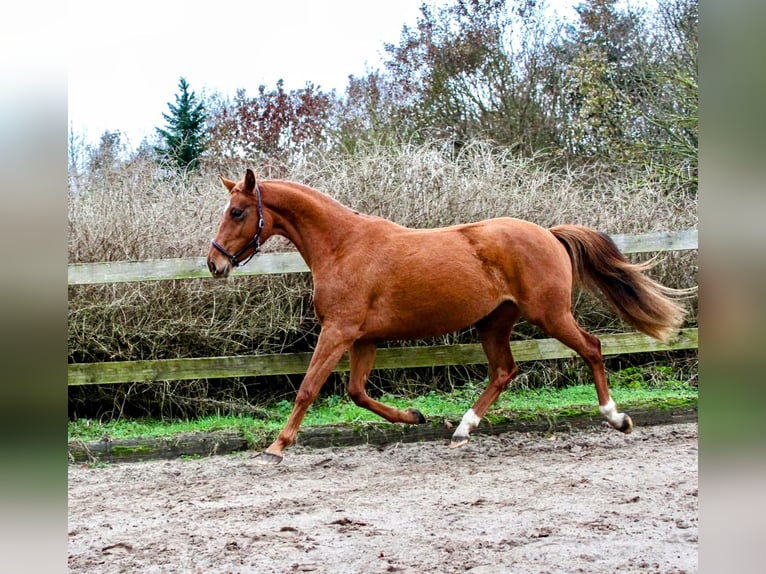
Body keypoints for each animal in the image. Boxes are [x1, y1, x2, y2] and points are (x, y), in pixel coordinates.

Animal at [207, 169, 688, 466]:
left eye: (237, 211)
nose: (215, 264)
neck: (343, 246)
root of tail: (549, 234)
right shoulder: (363, 338)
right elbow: (357, 392)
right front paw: (414, 416)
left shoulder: (338, 331)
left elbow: (308, 389)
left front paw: (276, 447)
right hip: (494, 322)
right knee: (504, 370)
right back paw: (461, 429)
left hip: (550, 315)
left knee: (591, 348)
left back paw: (617, 418)